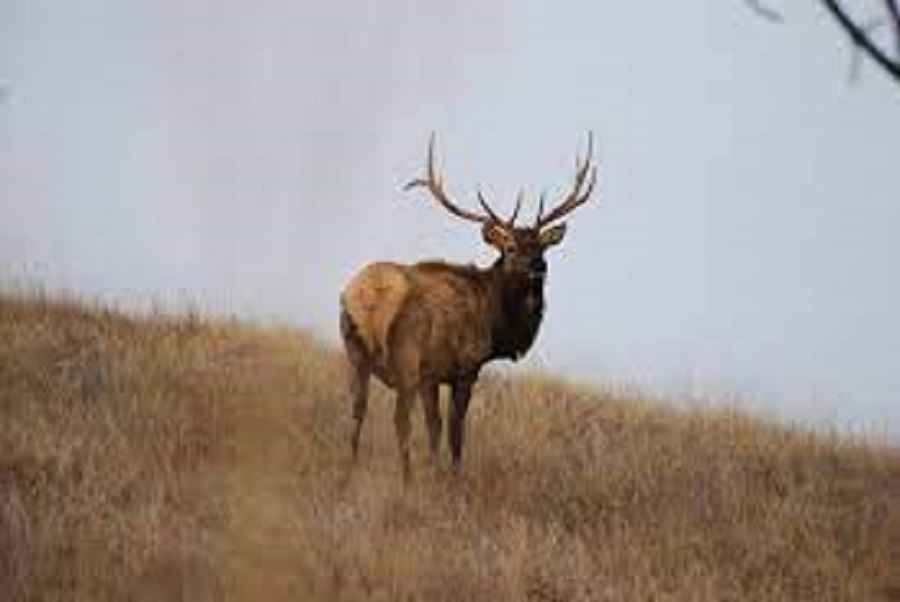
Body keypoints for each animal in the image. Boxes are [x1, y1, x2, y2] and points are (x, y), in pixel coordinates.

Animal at [339, 133, 598, 480]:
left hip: (354, 351)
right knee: (400, 421)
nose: (538, 268)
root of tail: (370, 298)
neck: (496, 324)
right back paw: (407, 481)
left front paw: (436, 472)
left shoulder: (433, 376)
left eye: (542, 247)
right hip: (408, 357)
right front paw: (449, 478)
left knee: (356, 412)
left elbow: (436, 430)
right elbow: (453, 433)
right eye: (510, 247)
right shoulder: (462, 368)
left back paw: (348, 475)